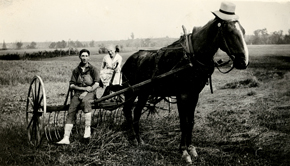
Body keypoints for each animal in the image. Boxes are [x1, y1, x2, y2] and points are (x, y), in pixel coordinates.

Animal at [120, 16, 249, 164]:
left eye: (243, 31)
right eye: (229, 32)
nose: (244, 62)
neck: (192, 57)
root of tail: (129, 60)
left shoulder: (194, 95)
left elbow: (191, 122)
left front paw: (191, 148)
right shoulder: (182, 95)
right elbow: (183, 122)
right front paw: (184, 151)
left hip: (143, 93)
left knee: (136, 112)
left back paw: (139, 139)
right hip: (130, 92)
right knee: (127, 110)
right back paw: (133, 137)